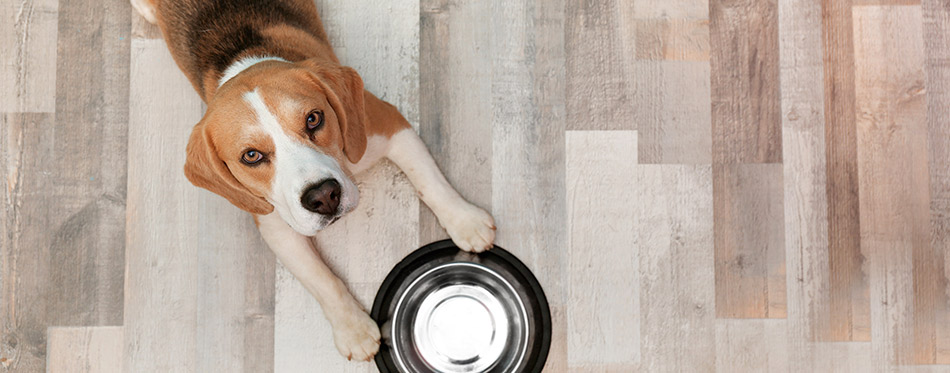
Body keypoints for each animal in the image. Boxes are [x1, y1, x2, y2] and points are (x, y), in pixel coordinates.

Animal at [132, 0, 498, 360]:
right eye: (251, 156)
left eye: (313, 119)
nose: (323, 197)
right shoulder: (275, 225)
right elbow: (320, 279)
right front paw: (352, 329)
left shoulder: (388, 125)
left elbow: (430, 180)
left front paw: (464, 221)